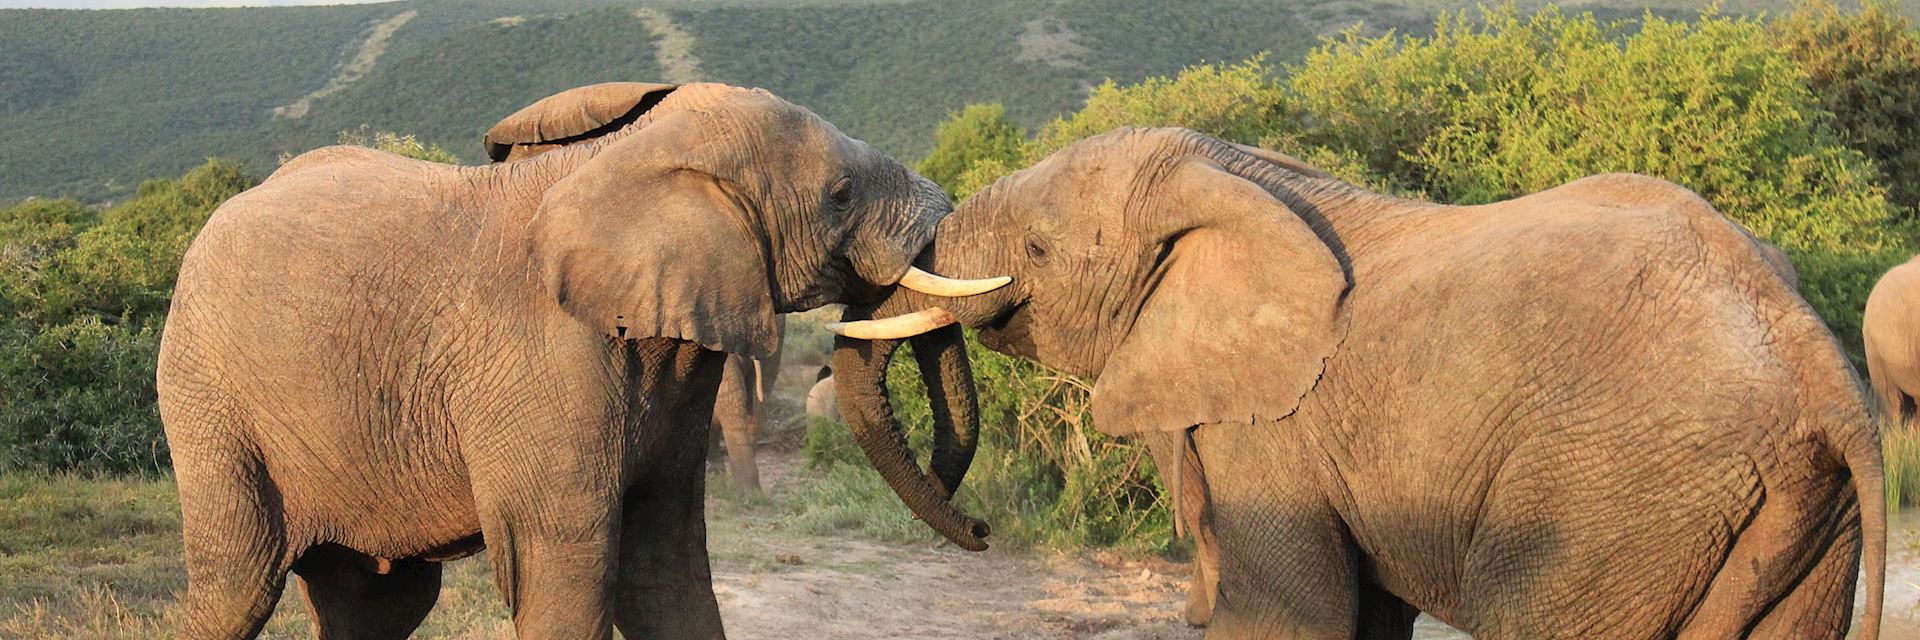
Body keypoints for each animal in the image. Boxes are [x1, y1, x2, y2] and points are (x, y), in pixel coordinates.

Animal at [155, 81, 1006, 638]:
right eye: (839, 194)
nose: (982, 528)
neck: (635, 157)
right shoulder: (543, 355)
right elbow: (568, 570)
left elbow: (666, 567)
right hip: (206, 399)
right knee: (238, 581)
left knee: (378, 606)